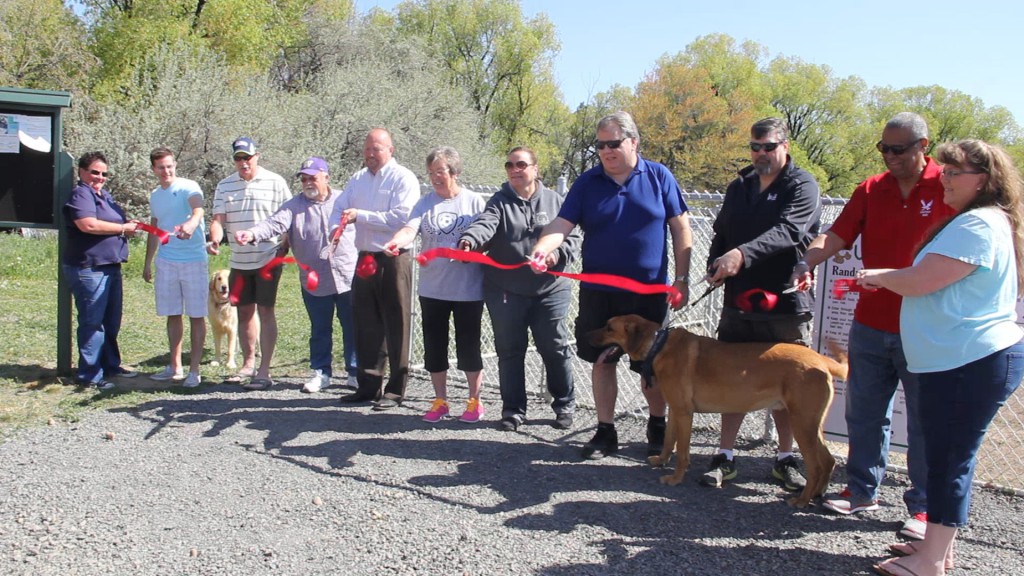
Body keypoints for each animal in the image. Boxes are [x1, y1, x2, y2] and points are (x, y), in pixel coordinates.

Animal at [589, 313, 843, 506]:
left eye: (609, 328)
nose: (584, 335)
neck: (658, 345)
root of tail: (821, 360)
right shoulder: (675, 409)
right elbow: (669, 441)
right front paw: (661, 460)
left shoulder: (684, 413)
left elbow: (682, 452)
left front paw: (675, 478)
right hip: (811, 424)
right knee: (828, 460)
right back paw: (818, 495)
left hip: (801, 424)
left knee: (816, 465)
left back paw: (802, 500)